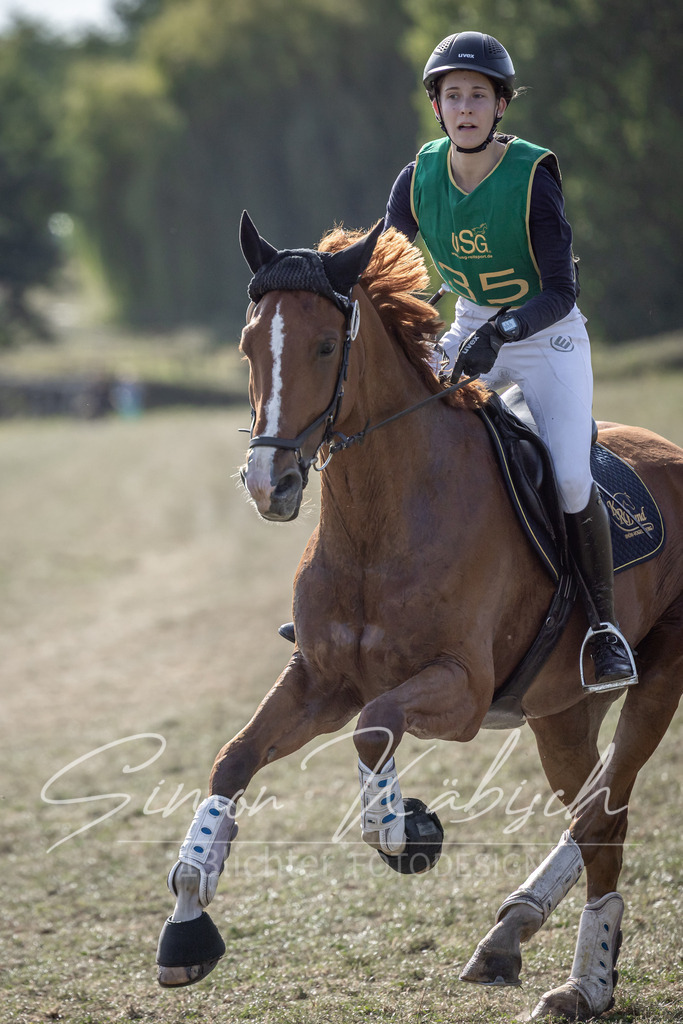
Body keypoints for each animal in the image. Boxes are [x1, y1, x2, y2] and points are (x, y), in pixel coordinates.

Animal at [155, 212, 683, 1021]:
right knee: (595, 811)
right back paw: (514, 935)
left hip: (655, 676)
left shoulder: (460, 690)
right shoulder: (320, 680)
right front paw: (186, 920)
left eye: (325, 346)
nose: (269, 484)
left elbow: (375, 728)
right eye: (248, 346)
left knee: (606, 811)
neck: (383, 517)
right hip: (560, 710)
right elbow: (233, 758)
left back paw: (583, 981)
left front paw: (408, 830)